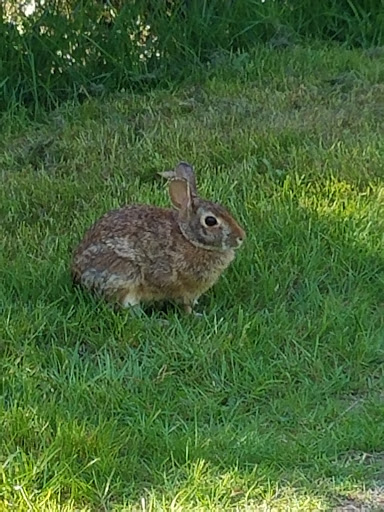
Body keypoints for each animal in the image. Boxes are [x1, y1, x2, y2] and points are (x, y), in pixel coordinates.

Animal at [71, 162, 246, 314]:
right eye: (210, 221)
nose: (241, 237)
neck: (188, 237)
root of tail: (78, 276)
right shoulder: (181, 287)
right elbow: (185, 305)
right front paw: (195, 315)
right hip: (124, 276)